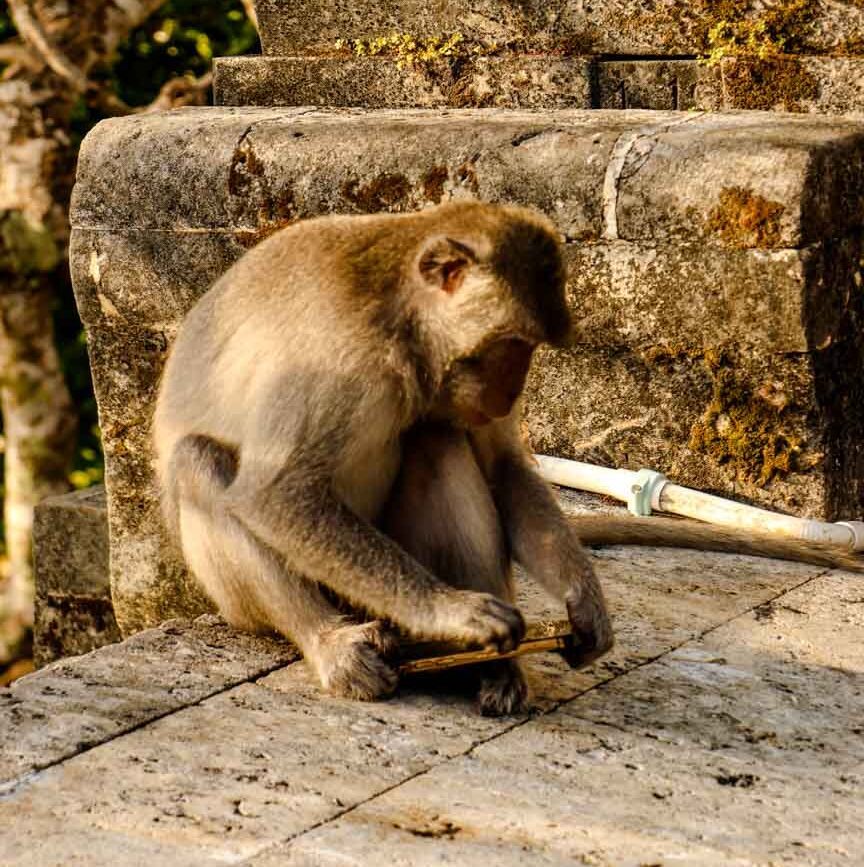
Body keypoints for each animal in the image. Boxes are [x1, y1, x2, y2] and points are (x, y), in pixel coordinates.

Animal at [153, 199, 613, 716]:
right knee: (197, 460)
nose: (511, 391)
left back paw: (495, 666)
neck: (403, 325)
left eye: (530, 346)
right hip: (262, 604)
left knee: (438, 437)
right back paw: (331, 643)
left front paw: (585, 602)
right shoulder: (333, 352)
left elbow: (503, 468)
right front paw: (450, 611)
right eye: (512, 343)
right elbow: (274, 494)